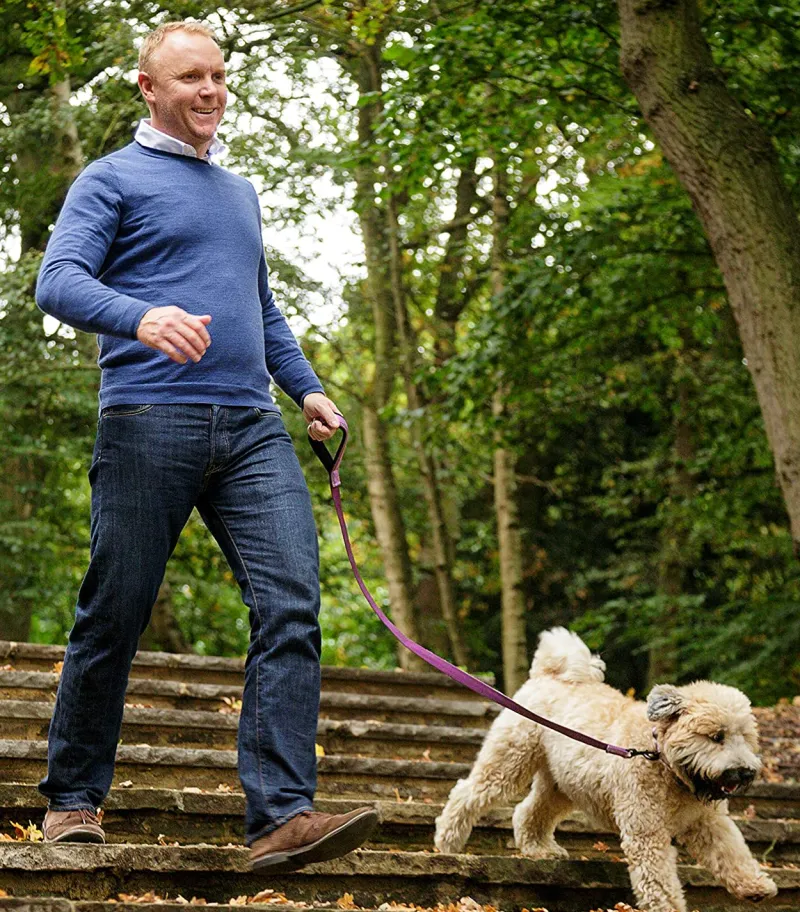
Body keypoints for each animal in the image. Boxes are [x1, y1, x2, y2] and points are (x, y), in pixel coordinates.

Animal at [434, 627, 777, 912]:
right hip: (508, 762)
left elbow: (732, 855)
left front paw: (754, 885)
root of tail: (548, 675)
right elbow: (659, 882)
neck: (662, 760)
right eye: (717, 736)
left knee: (529, 811)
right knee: (467, 793)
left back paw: (539, 849)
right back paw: (447, 842)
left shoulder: (709, 824)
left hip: (561, 785)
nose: (745, 772)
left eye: (746, 737)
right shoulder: (647, 833)